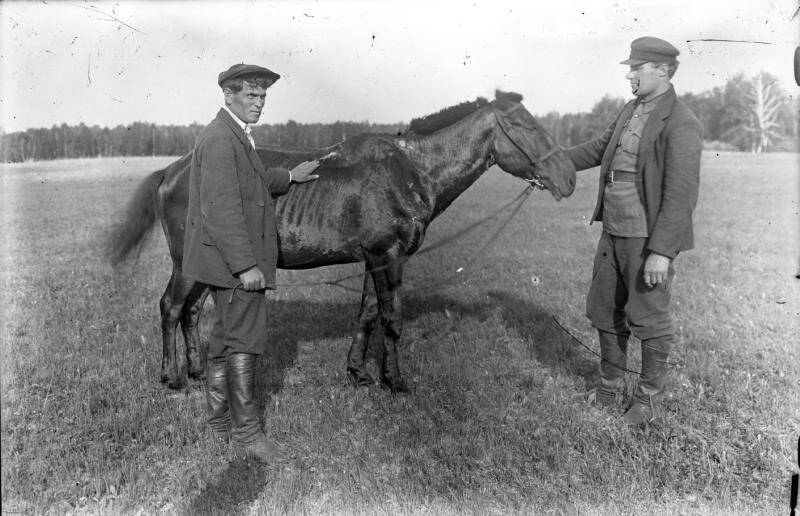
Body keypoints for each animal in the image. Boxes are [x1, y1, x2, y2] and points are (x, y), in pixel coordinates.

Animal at [108, 91, 576, 392]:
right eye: (524, 125)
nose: (569, 177)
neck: (409, 170)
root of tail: (173, 170)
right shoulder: (390, 257)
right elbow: (392, 318)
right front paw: (395, 381)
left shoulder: (374, 258)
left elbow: (367, 313)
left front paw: (358, 372)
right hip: (186, 263)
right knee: (171, 308)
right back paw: (172, 378)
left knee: (190, 312)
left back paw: (198, 371)